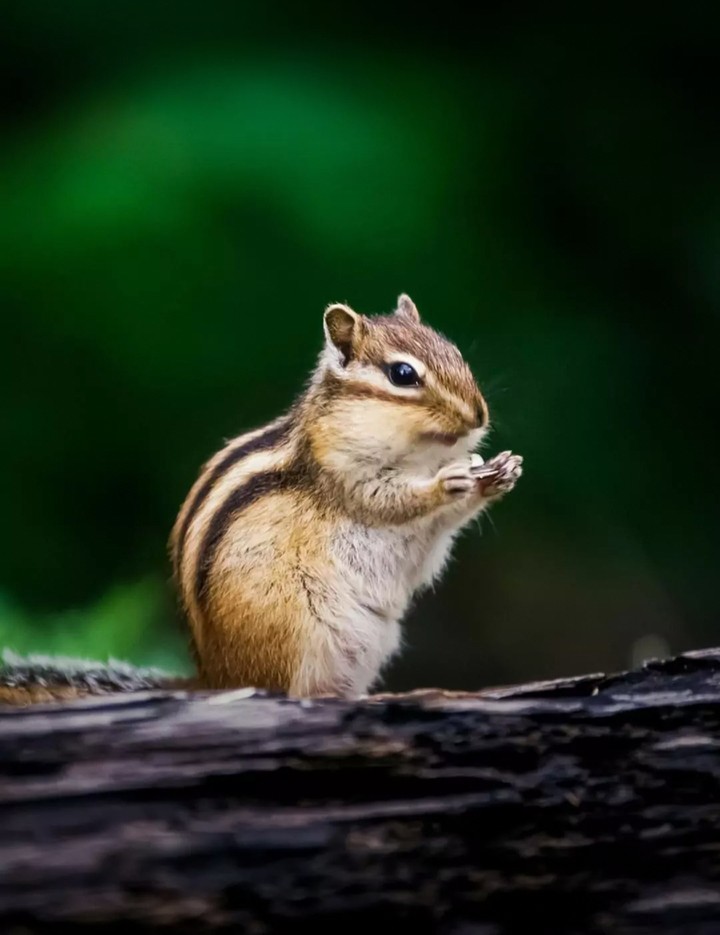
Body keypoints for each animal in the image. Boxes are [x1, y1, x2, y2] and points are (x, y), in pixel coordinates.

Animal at [0, 294, 522, 704]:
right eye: (402, 374)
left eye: (455, 352)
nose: (479, 416)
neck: (419, 454)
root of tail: (214, 679)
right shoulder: (342, 473)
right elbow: (390, 501)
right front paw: (446, 483)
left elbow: (440, 527)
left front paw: (498, 473)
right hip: (297, 629)